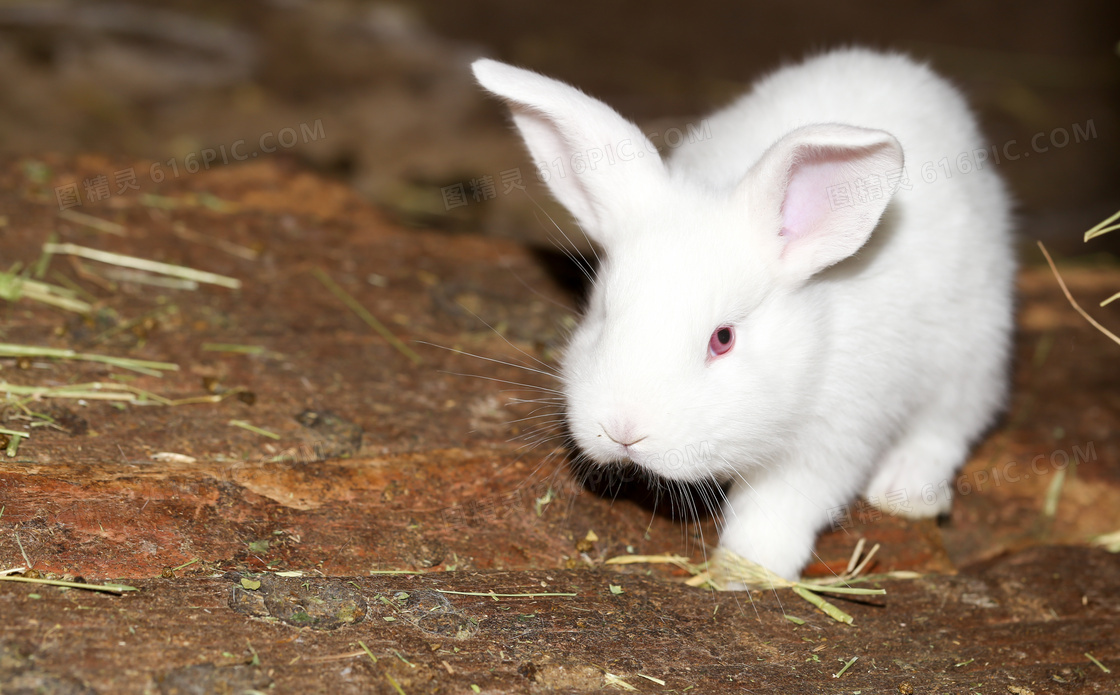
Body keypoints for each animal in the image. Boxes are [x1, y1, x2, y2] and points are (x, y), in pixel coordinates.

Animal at [470, 48, 1016, 577]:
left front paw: (743, 568)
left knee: (949, 425)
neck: (811, 341)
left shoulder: (831, 439)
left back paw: (905, 494)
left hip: (972, 347)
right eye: (602, 314)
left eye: (724, 338)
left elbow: (778, 509)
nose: (624, 431)